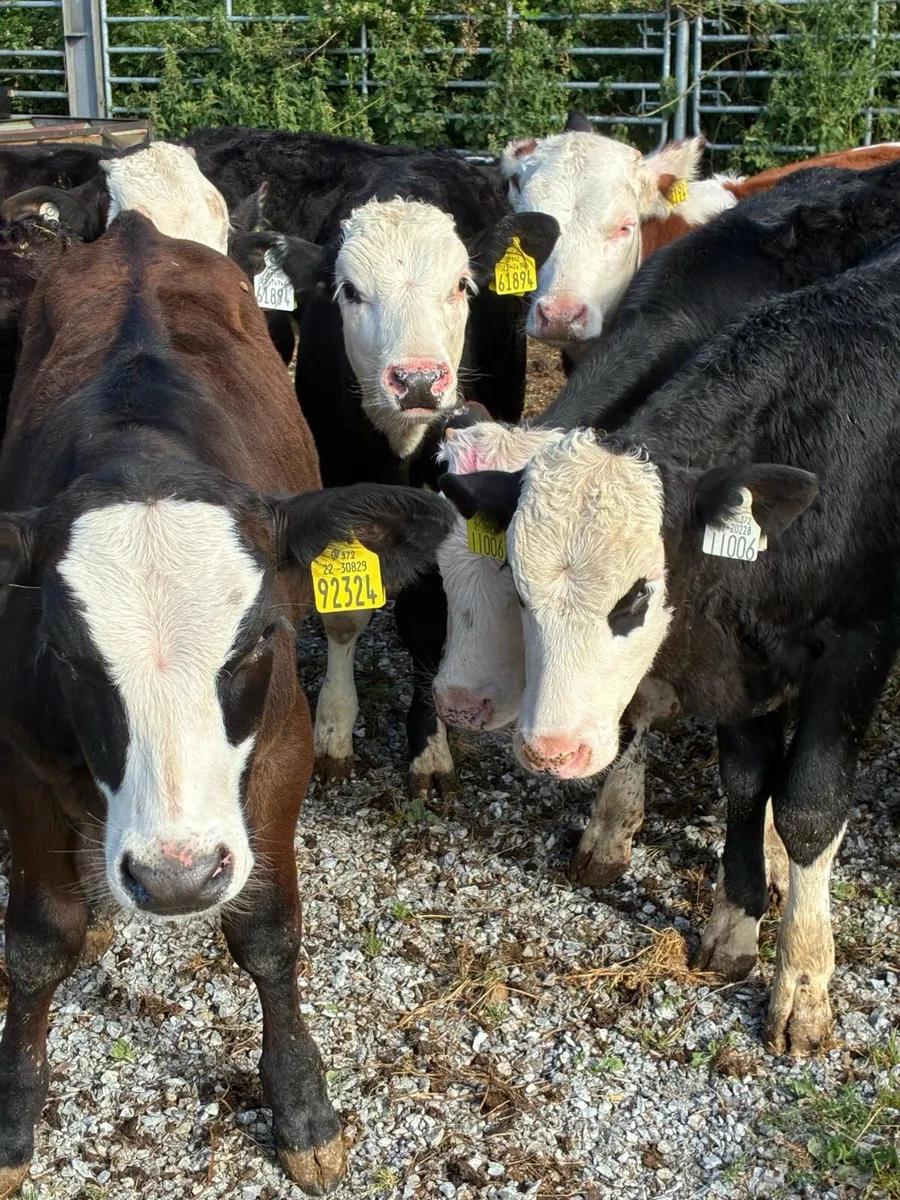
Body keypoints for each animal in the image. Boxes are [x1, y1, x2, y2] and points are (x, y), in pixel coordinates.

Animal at [0, 211, 454, 1197]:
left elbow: (268, 933)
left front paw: (302, 1105)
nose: (174, 877)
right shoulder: (18, 759)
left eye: (256, 642)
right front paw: (13, 1116)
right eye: (67, 656)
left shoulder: (281, 749)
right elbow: (38, 942)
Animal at [438, 234, 900, 1057]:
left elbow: (810, 802)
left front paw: (802, 982)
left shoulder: (859, 645)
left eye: (636, 597)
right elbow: (747, 783)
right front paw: (736, 923)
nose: (549, 751)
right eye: (520, 586)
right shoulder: (739, 656)